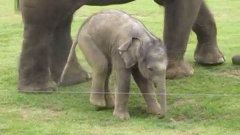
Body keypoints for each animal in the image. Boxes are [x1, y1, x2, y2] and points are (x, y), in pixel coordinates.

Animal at [17, 0, 225, 91]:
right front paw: (179, 74)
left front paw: (213, 62)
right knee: (43, 23)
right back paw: (41, 89)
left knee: (60, 20)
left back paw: (76, 80)